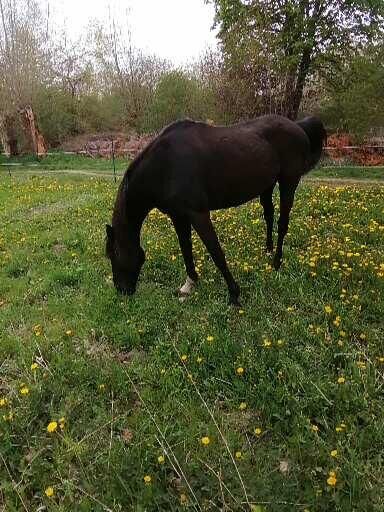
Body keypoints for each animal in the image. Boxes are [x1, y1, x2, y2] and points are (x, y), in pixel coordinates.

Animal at [106, 114, 328, 304]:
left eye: (113, 255)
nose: (122, 290)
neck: (164, 166)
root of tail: (297, 126)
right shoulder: (178, 216)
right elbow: (186, 248)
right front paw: (189, 284)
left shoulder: (198, 214)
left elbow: (215, 251)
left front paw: (234, 294)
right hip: (267, 185)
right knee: (269, 215)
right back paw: (267, 251)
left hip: (289, 181)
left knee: (282, 223)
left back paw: (276, 262)